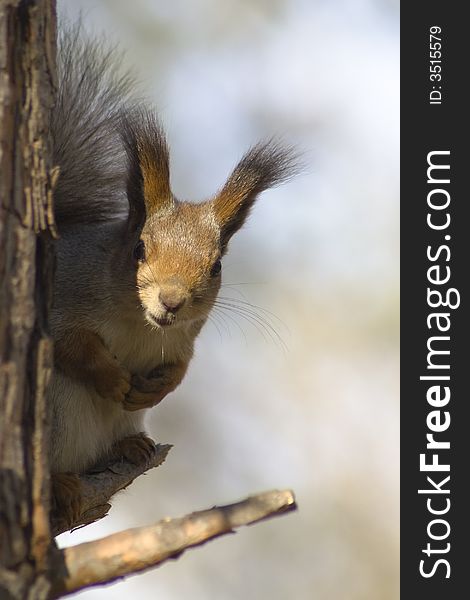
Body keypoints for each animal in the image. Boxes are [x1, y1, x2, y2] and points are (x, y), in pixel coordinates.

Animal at [47, 25, 298, 528]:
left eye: (216, 266)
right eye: (139, 249)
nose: (172, 300)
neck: (139, 324)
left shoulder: (185, 336)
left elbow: (182, 368)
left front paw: (155, 389)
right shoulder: (64, 295)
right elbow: (72, 345)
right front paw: (113, 380)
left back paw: (130, 444)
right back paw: (60, 483)